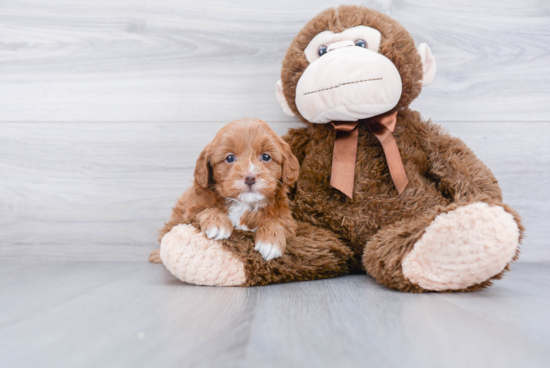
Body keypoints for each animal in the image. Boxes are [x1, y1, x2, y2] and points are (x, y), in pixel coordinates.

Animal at [150, 118, 302, 262]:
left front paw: (270, 241)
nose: (250, 178)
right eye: (230, 158)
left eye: (265, 156)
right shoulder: (190, 211)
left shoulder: (288, 221)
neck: (244, 204)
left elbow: (278, 222)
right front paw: (217, 223)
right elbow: (206, 209)